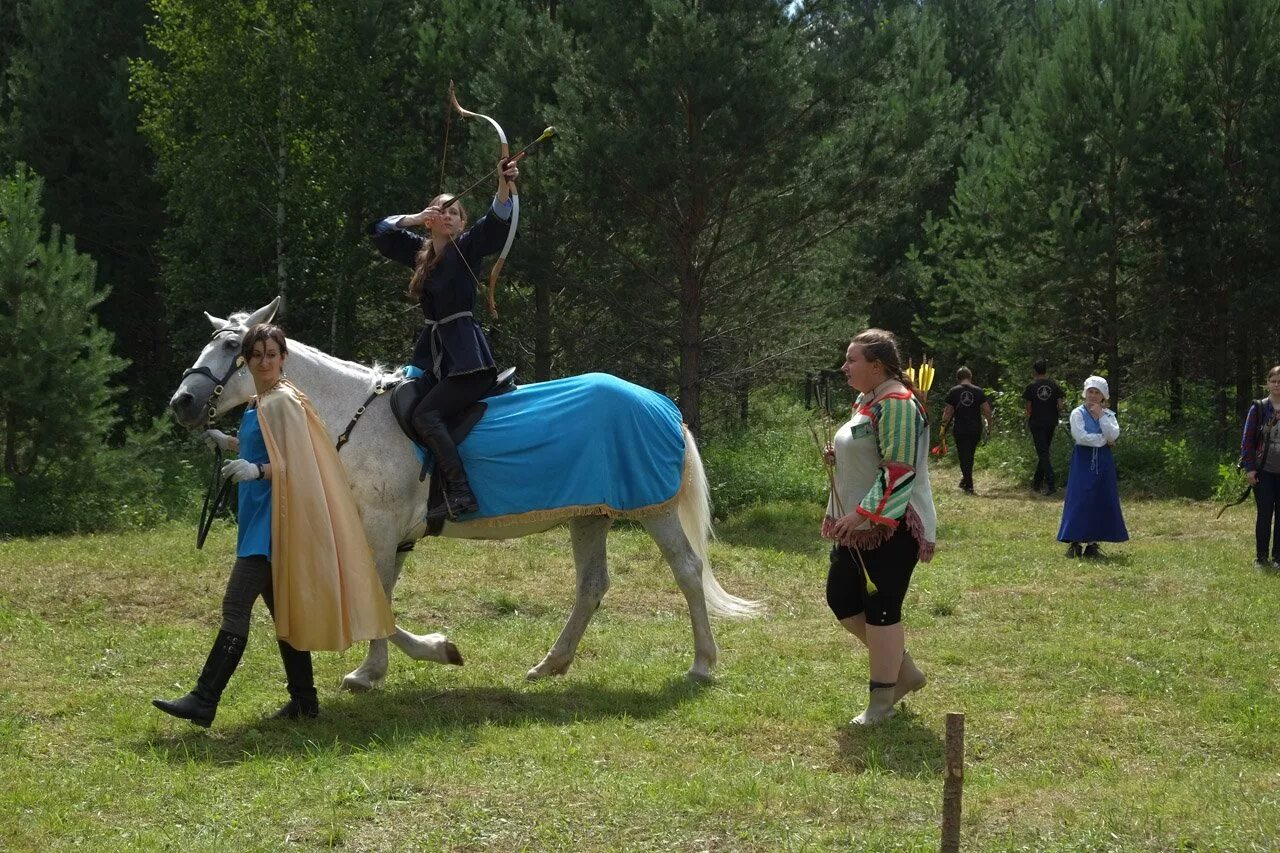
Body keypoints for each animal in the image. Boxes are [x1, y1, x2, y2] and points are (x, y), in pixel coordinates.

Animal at [172, 295, 757, 686]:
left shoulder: (381, 528)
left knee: (687, 571)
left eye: (233, 346)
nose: (181, 403)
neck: (353, 416)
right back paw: (551, 663)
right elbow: (382, 598)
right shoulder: (392, 535)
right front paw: (399, 661)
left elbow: (378, 599)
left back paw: (702, 664)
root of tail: (663, 406)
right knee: (592, 586)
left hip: (653, 510)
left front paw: (397, 662)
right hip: (589, 514)